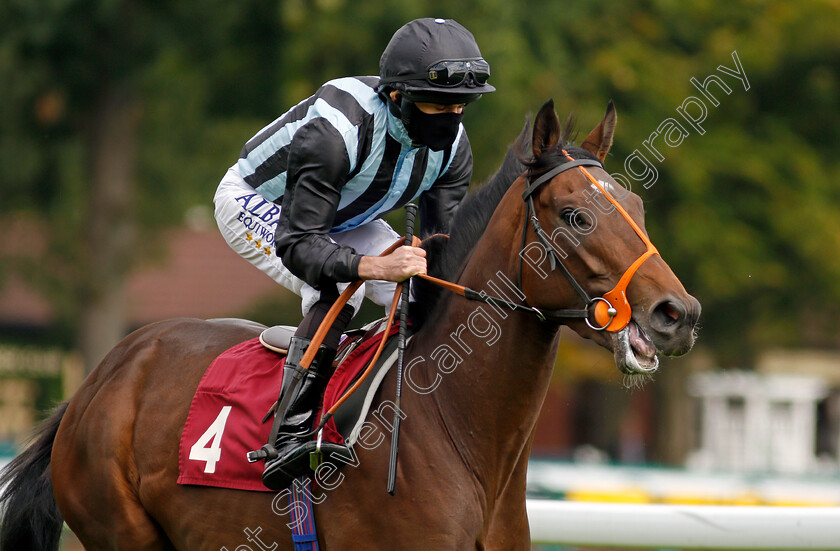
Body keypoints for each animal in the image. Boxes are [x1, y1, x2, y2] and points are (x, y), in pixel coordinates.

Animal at [1, 99, 704, 551]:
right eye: (575, 215)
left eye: (637, 206)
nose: (678, 314)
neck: (455, 430)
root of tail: (106, 374)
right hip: (121, 527)